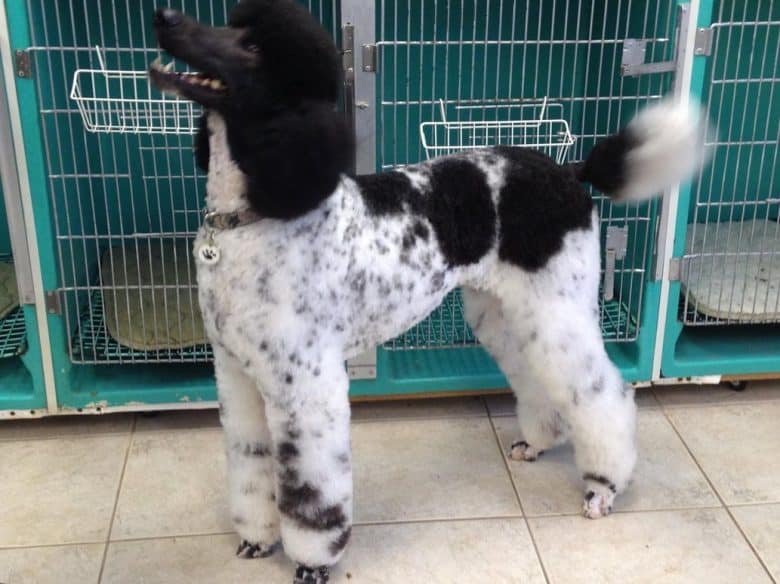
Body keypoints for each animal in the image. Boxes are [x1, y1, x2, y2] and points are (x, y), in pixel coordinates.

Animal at [149, 2, 704, 580]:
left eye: (253, 46)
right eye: (230, 21)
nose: (164, 17)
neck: (260, 211)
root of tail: (572, 172)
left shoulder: (306, 389)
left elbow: (310, 497)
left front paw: (313, 562)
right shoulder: (238, 375)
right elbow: (251, 468)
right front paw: (259, 539)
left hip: (558, 311)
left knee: (605, 396)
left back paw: (603, 487)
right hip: (507, 315)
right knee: (541, 384)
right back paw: (536, 443)